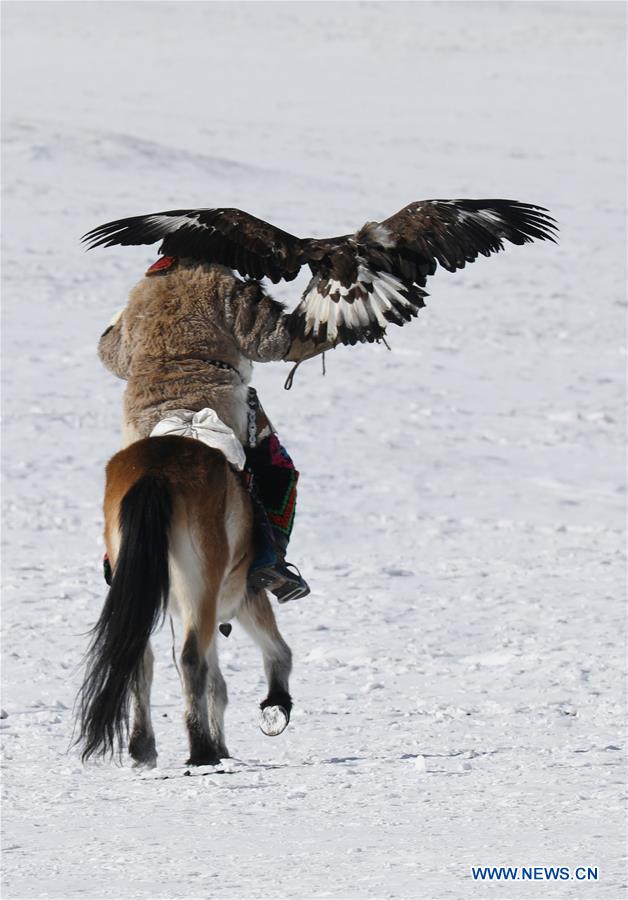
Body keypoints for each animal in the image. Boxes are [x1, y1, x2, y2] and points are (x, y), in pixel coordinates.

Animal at [77, 434, 294, 768]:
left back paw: (144, 748)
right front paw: (276, 705)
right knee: (191, 659)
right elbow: (277, 651)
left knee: (141, 659)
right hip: (202, 588)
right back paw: (202, 751)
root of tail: (155, 472)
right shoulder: (244, 597)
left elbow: (217, 683)